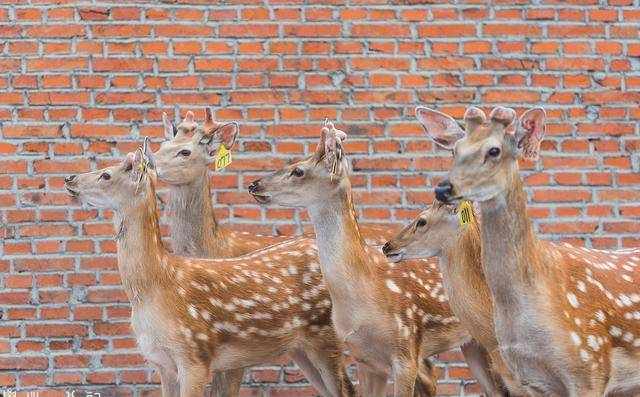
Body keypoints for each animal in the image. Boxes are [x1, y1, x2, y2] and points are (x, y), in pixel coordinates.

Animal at [65, 143, 358, 396]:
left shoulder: (195, 354)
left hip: (326, 335)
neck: (156, 285)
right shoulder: (162, 363)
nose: (69, 178)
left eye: (106, 174)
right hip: (299, 347)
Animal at [249, 120, 510, 396]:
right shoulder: (365, 358)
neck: (365, 290)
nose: (254, 184)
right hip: (472, 344)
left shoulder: (406, 349)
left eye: (298, 170)